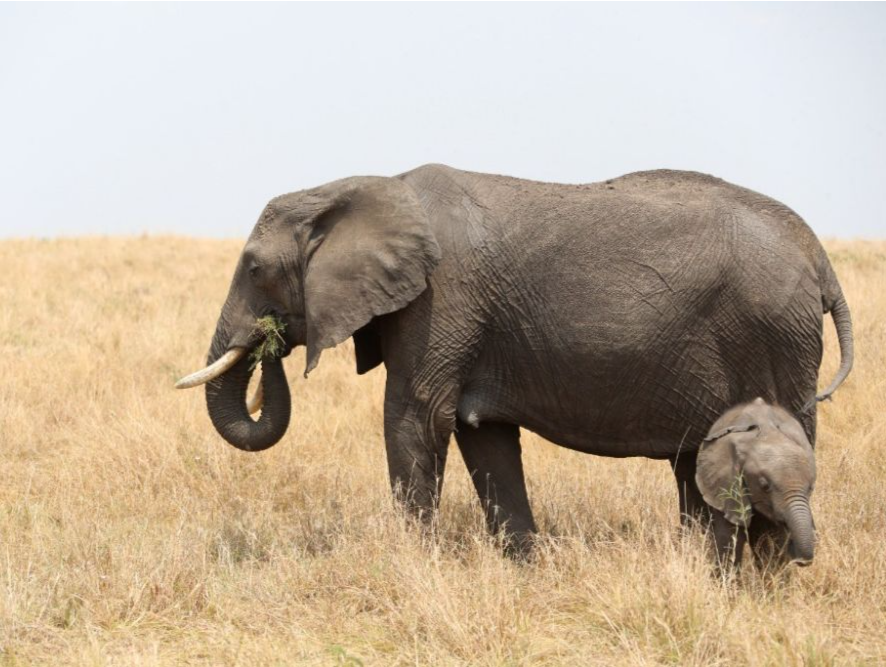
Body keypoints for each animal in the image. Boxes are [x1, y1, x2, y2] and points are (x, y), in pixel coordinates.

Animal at [700, 396, 820, 568]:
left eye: (810, 488)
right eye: (765, 486)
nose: (801, 559)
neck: (767, 434)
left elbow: (772, 544)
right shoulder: (726, 484)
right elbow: (729, 538)